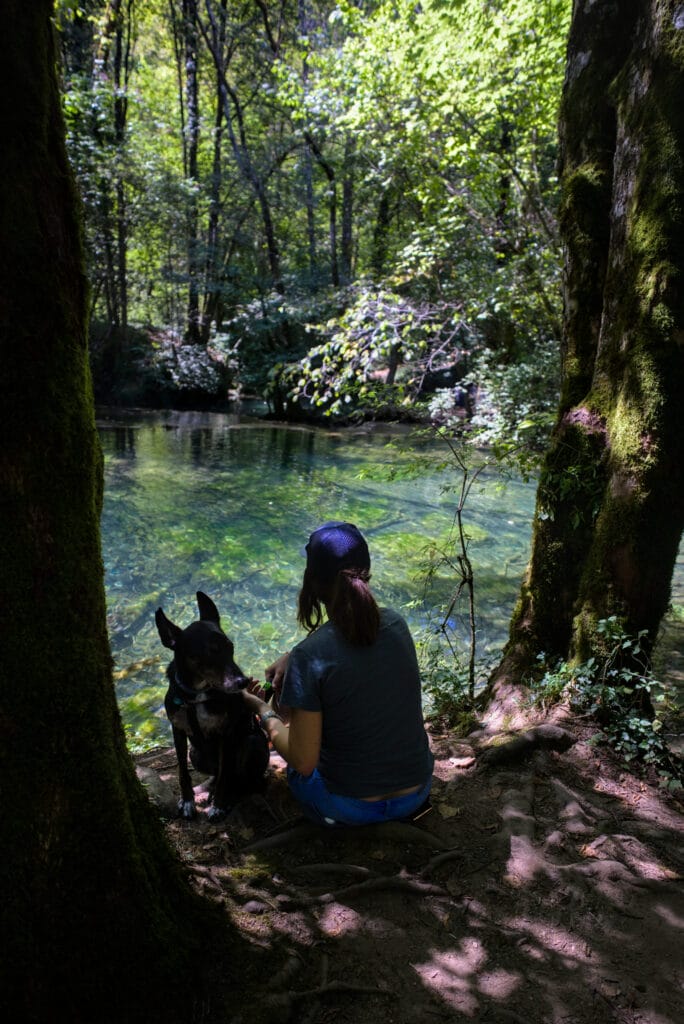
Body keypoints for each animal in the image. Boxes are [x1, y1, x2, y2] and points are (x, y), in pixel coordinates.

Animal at [154, 589, 270, 819]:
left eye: (230, 647)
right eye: (209, 652)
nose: (242, 682)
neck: (196, 696)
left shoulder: (225, 733)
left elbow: (226, 773)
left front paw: (219, 804)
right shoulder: (177, 730)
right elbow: (182, 771)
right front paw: (187, 801)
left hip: (252, 743)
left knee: (241, 779)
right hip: (196, 753)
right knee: (217, 773)